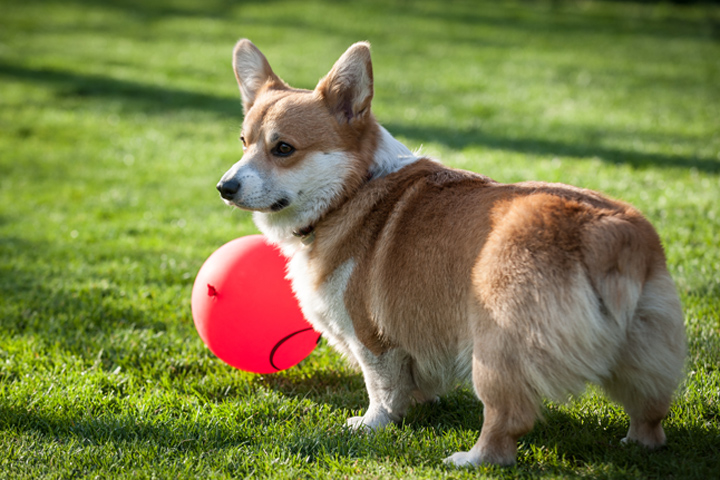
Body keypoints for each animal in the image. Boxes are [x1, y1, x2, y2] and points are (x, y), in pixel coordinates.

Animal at [218, 39, 688, 466]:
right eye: (243, 142)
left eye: (283, 148)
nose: (225, 187)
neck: (352, 188)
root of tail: (605, 233)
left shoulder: (372, 336)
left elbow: (381, 389)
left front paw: (372, 424)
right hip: (646, 347)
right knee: (650, 410)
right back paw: (636, 444)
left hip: (497, 350)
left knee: (506, 421)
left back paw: (471, 459)